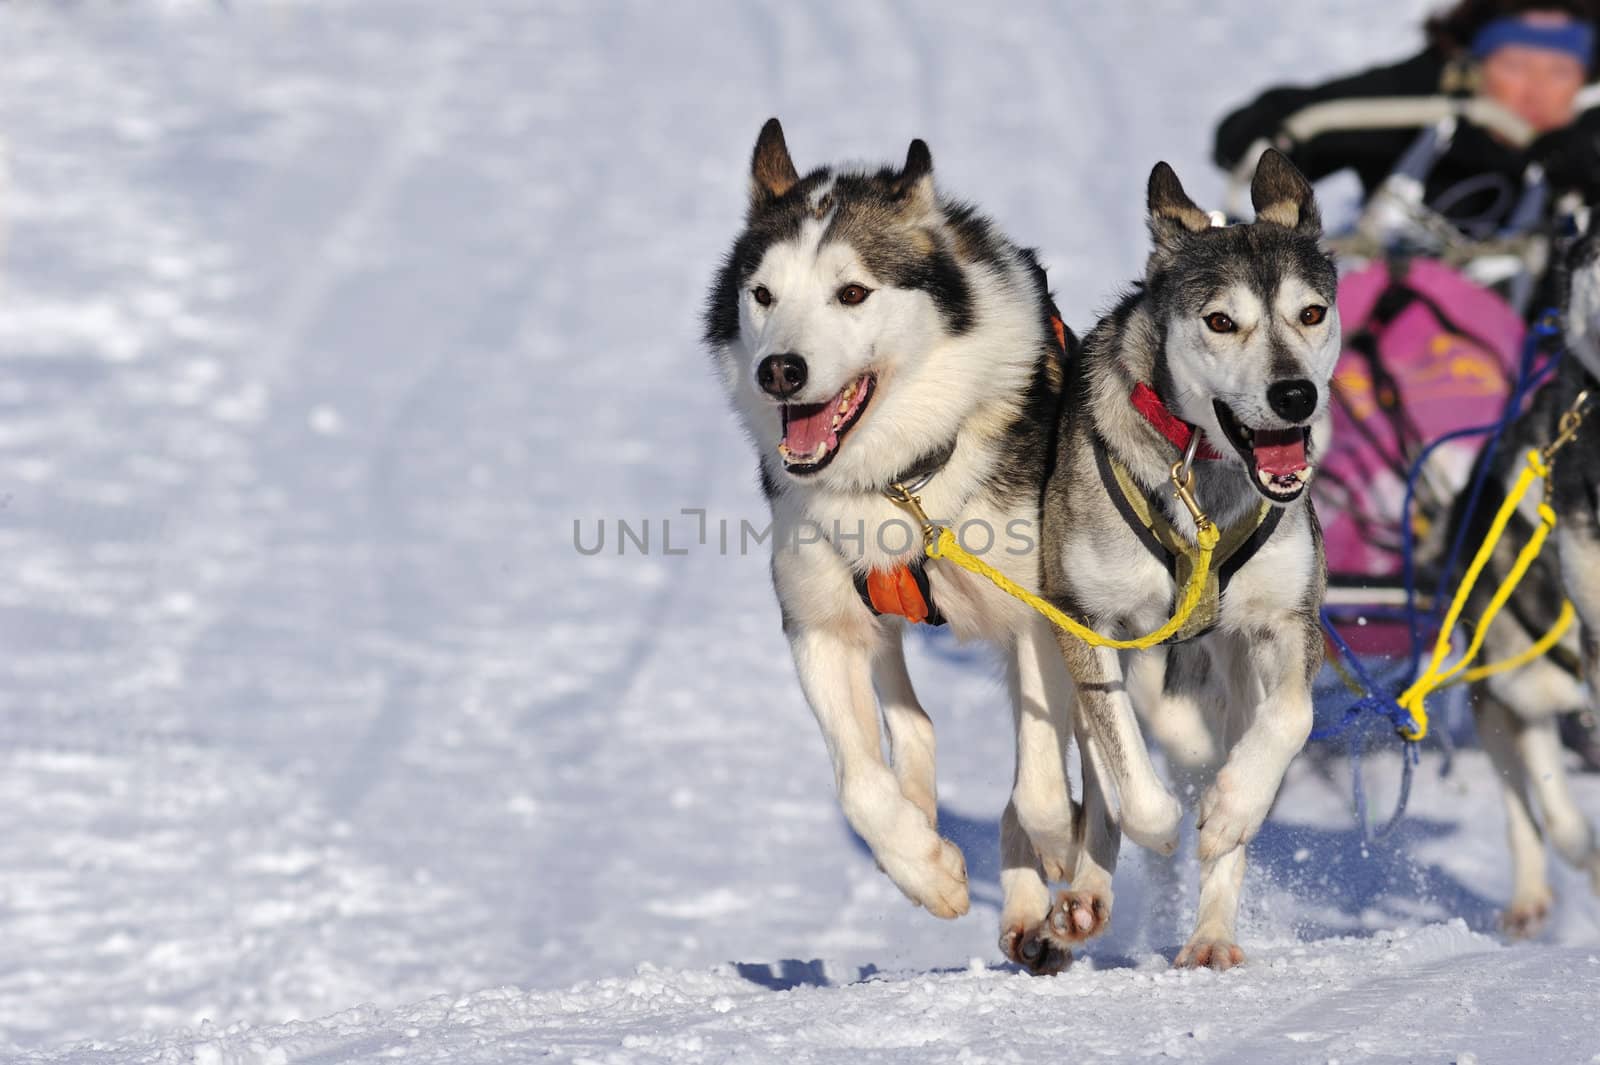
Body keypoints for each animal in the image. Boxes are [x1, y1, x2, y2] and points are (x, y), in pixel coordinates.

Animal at [707, 118, 1094, 972]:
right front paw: (928, 869)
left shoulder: (1040, 617)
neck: (897, 479)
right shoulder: (818, 626)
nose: (780, 370)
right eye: (763, 294)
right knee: (911, 724)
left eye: (853, 292)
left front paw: (1057, 844)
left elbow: (1042, 786)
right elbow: (860, 784)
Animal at [1036, 153, 1337, 965]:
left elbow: (1290, 716)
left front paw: (1230, 808)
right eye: (1221, 321)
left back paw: (1210, 932)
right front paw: (1165, 821)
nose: (1295, 395)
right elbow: (1129, 771)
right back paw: (1089, 891)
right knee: (1111, 765)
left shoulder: (1287, 621)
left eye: (1312, 313)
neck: (1205, 483)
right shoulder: (1086, 621)